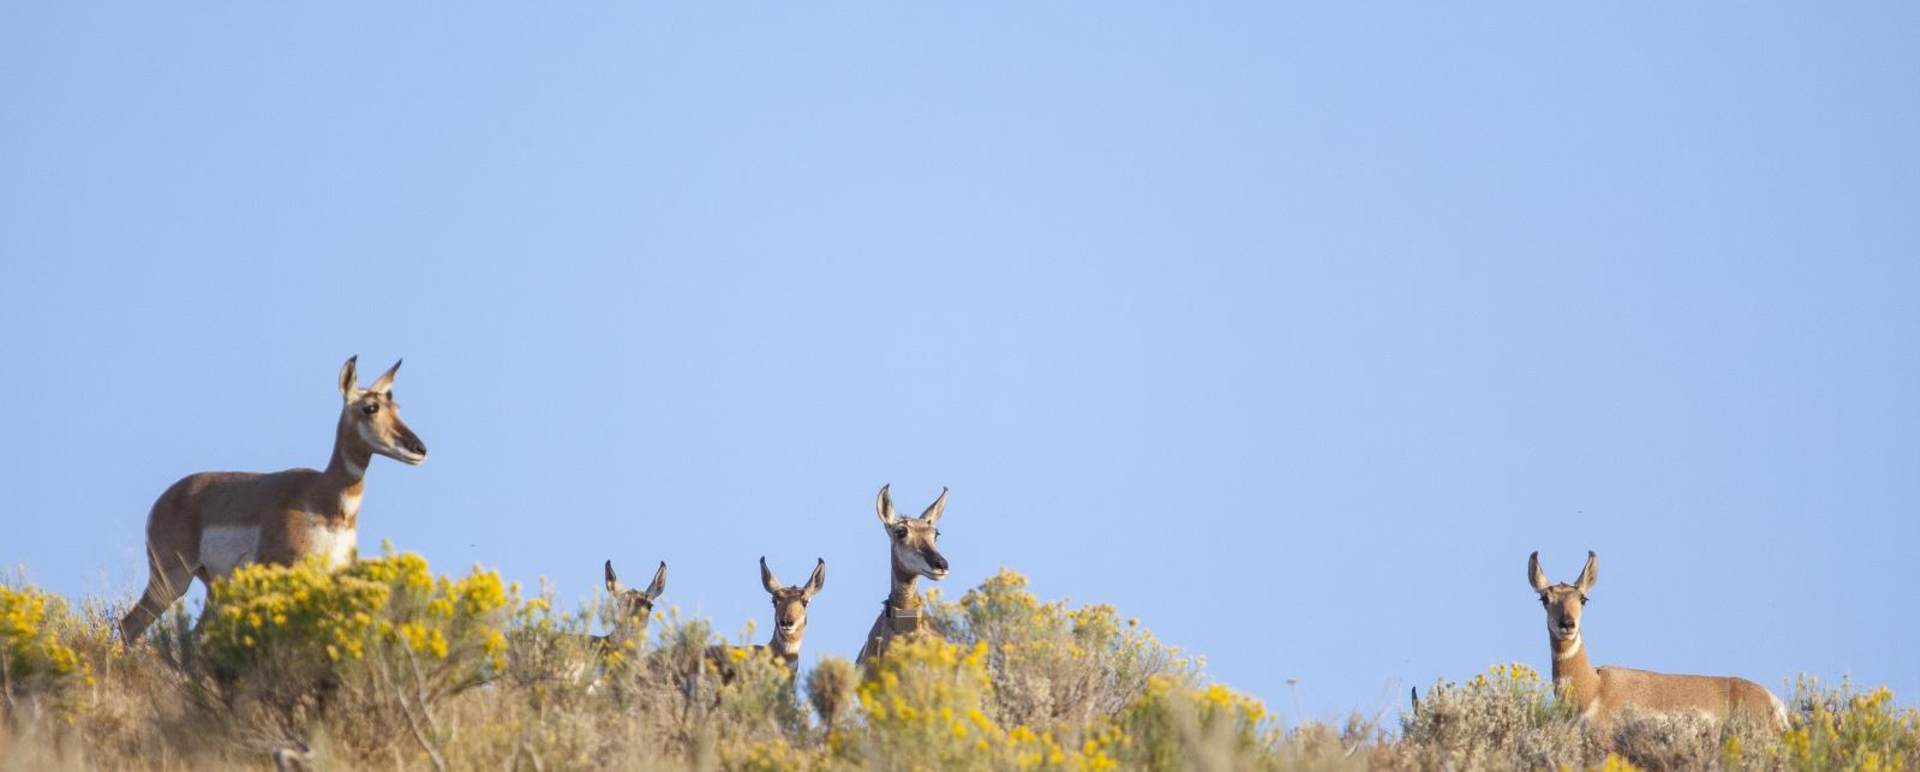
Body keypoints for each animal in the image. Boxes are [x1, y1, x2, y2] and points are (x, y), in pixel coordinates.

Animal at [118, 356, 428, 643]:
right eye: (370, 407)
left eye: (396, 407)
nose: (420, 449)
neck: (323, 496)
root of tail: (166, 498)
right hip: (172, 580)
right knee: (129, 625)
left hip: (212, 588)